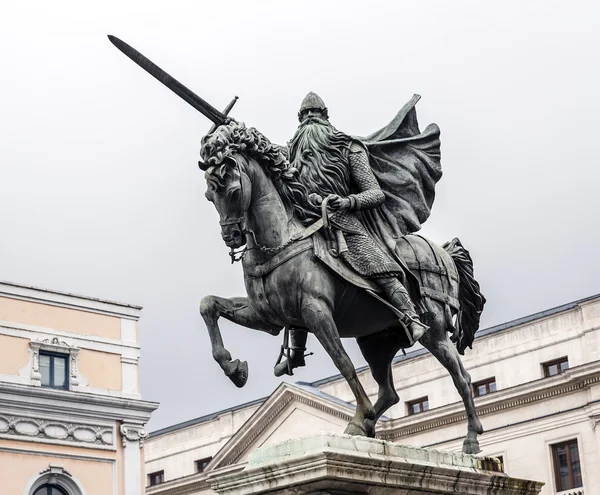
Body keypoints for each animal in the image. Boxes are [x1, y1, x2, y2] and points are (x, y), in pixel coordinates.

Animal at [199, 122, 486, 456]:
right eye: (209, 194)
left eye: (231, 190)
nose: (231, 237)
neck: (280, 239)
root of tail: (443, 251)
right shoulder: (268, 316)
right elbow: (208, 305)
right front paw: (234, 369)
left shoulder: (316, 311)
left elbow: (343, 363)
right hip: (376, 340)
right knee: (390, 392)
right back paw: (363, 427)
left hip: (435, 330)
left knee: (462, 377)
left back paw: (470, 439)